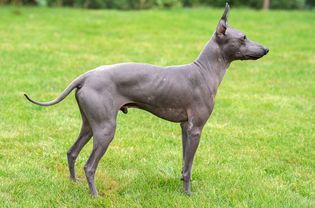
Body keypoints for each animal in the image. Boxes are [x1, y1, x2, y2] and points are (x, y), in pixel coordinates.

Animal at [25, 3, 270, 197]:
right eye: (243, 37)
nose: (266, 49)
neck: (204, 71)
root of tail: (86, 76)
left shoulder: (185, 127)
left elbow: (184, 164)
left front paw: (183, 187)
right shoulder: (196, 129)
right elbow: (189, 166)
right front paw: (188, 195)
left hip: (89, 124)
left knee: (72, 152)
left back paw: (74, 183)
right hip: (105, 129)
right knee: (90, 165)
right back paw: (94, 195)